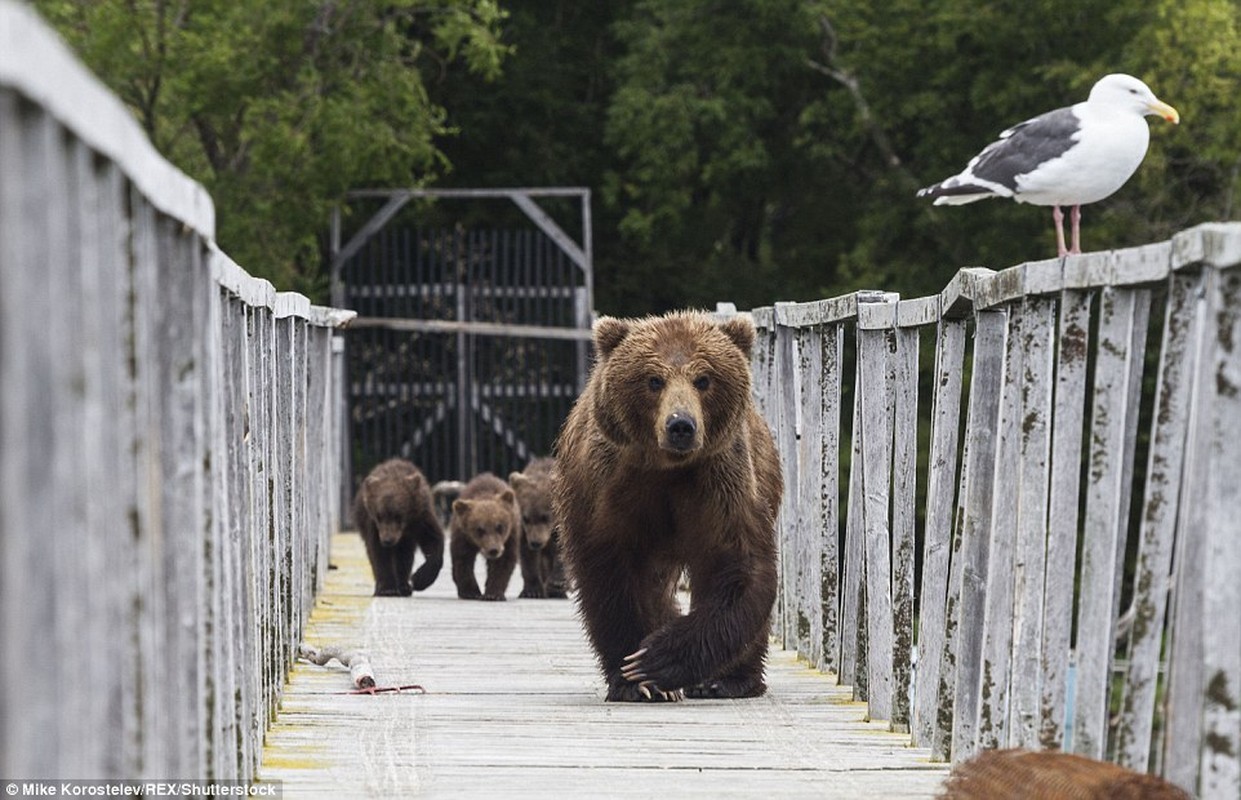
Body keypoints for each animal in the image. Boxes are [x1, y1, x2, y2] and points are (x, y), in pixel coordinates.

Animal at [352, 458, 444, 595]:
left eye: (398, 515)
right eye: (379, 515)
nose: (388, 540)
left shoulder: (421, 518)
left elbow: (433, 541)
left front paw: (419, 580)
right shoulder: (374, 526)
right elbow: (379, 553)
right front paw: (387, 588)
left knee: (404, 555)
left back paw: (404, 586)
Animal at [508, 458, 568, 595]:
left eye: (545, 517)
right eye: (526, 518)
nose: (536, 543)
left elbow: (562, 551)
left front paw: (557, 583)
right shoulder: (525, 531)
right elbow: (528, 556)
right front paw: (532, 590)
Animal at [551, 310, 774, 699]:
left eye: (703, 379)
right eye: (654, 380)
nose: (680, 425)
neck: (667, 468)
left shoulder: (721, 482)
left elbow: (739, 567)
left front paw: (657, 661)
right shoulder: (607, 488)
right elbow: (611, 574)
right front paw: (634, 676)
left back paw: (729, 680)